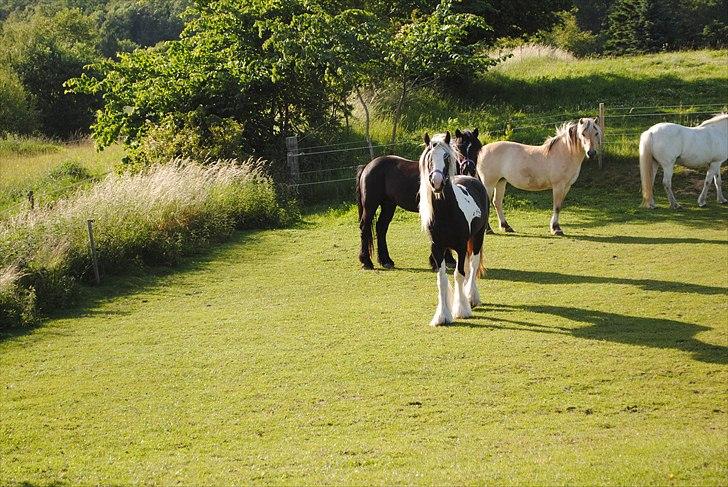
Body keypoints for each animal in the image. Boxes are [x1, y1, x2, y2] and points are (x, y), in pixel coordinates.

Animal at [356, 127, 480, 270]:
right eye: (459, 148)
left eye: (477, 148)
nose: (468, 169)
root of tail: (367, 166)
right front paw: (437, 261)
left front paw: (447, 259)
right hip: (370, 205)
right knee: (365, 227)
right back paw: (366, 262)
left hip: (388, 205)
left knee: (381, 228)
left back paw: (386, 260)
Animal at [418, 132, 492, 326]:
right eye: (429, 158)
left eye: (445, 157)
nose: (436, 182)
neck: (446, 212)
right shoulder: (437, 248)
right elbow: (442, 279)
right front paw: (442, 315)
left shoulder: (460, 246)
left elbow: (459, 274)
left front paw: (461, 309)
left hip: (477, 237)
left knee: (472, 265)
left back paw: (471, 297)